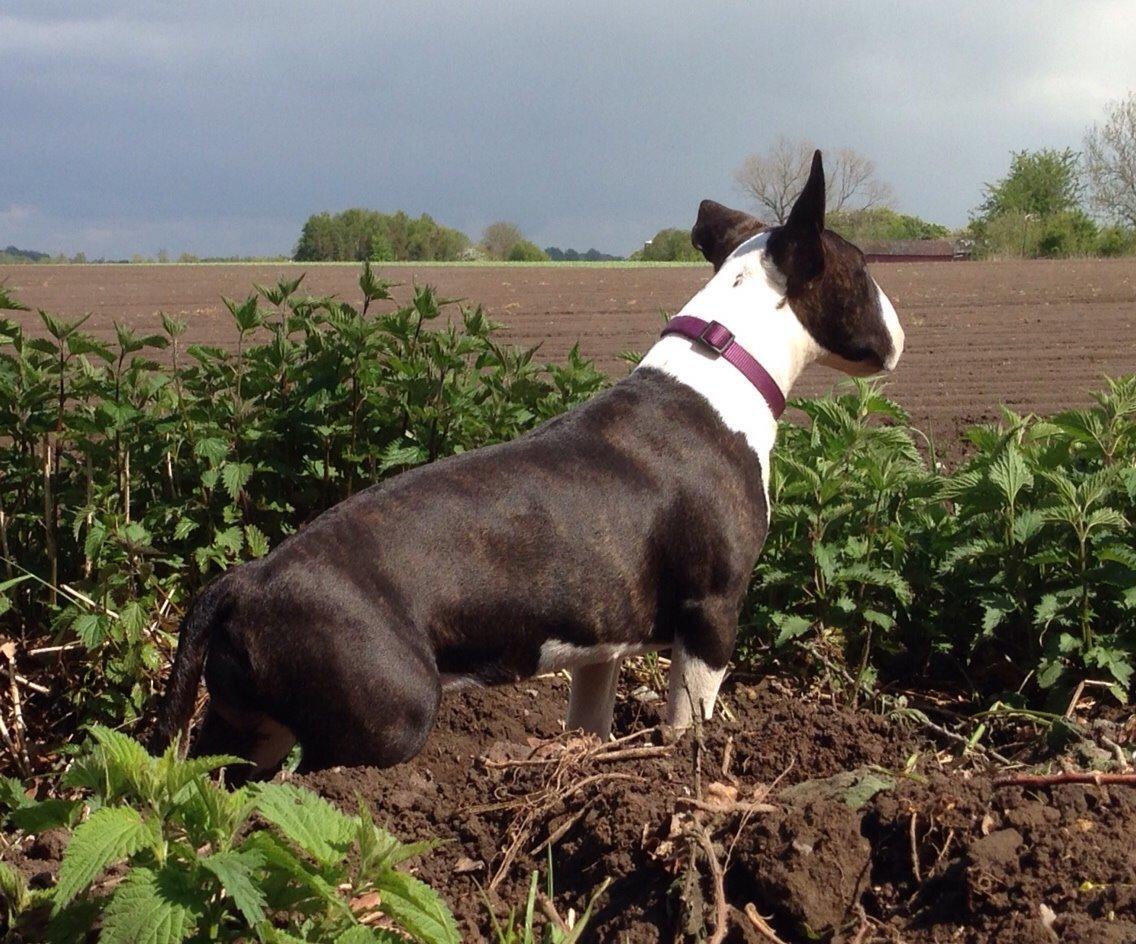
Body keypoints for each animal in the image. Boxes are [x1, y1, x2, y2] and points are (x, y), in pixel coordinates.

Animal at [153, 151, 904, 777]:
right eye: (866, 270)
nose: (900, 328)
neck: (724, 358)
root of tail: (245, 583)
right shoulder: (711, 615)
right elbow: (688, 722)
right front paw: (682, 767)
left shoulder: (602, 647)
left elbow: (590, 720)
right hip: (389, 716)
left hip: (244, 726)